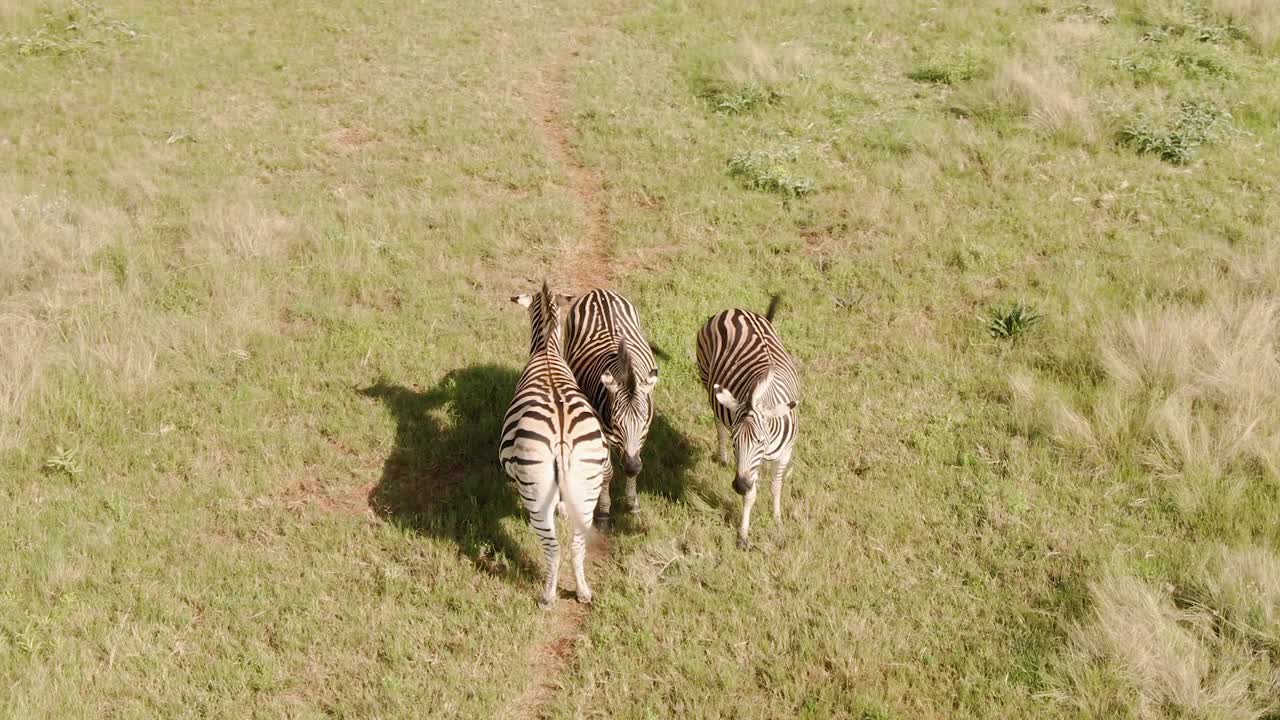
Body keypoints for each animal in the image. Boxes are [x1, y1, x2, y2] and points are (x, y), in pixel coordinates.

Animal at [500, 281, 610, 608]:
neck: (547, 351)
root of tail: (561, 435)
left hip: (537, 493)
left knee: (553, 548)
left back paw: (547, 596)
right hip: (588, 485)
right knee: (576, 544)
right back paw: (583, 592)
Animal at [561, 289, 659, 527]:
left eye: (643, 422)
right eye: (615, 422)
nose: (631, 466)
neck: (626, 373)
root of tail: (598, 291)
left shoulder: (642, 436)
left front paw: (632, 504)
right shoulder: (601, 434)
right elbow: (607, 472)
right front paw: (604, 512)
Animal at [696, 296, 799, 549]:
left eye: (761, 441)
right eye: (736, 441)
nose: (739, 485)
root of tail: (737, 309)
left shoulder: (785, 454)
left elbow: (776, 485)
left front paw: (777, 519)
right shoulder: (746, 463)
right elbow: (751, 495)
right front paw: (743, 535)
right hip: (706, 379)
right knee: (718, 422)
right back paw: (722, 457)